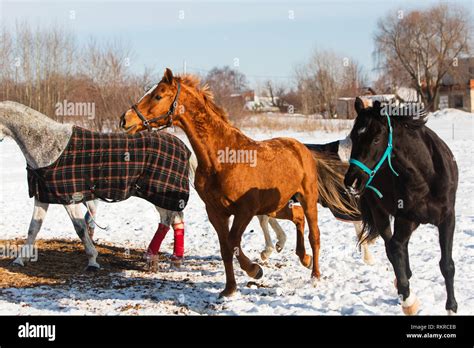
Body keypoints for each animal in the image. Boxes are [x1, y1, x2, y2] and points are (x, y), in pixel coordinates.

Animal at [0, 99, 193, 270]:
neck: (49, 146)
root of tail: (182, 146)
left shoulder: (71, 199)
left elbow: (80, 228)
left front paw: (92, 261)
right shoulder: (43, 196)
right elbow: (33, 228)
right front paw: (20, 260)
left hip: (162, 194)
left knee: (168, 221)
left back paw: (153, 258)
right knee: (175, 220)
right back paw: (174, 260)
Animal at [119, 68, 360, 296]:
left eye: (158, 95)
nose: (125, 119)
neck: (222, 159)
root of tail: (302, 148)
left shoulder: (245, 210)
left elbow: (233, 241)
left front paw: (254, 270)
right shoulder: (216, 212)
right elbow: (226, 247)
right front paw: (230, 289)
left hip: (307, 198)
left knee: (314, 233)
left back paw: (315, 274)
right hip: (276, 205)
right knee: (298, 217)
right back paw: (304, 258)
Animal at [344, 98, 460, 316]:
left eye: (376, 138)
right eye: (354, 136)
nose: (351, 181)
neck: (426, 175)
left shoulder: (447, 218)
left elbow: (447, 264)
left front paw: (451, 308)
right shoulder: (406, 217)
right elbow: (395, 248)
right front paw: (408, 300)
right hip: (380, 213)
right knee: (393, 247)